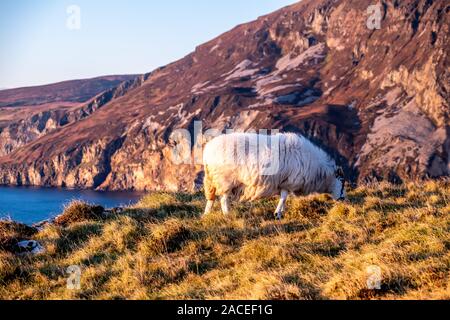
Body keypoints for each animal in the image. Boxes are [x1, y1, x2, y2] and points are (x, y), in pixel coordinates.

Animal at [202, 131, 346, 219]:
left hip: (212, 180)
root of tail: (208, 151)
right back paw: (227, 214)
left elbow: (284, 197)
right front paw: (278, 214)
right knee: (223, 199)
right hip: (225, 180)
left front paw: (280, 212)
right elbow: (284, 197)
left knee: (211, 199)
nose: (344, 199)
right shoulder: (288, 182)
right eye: (342, 181)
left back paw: (206, 214)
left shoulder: (284, 183)